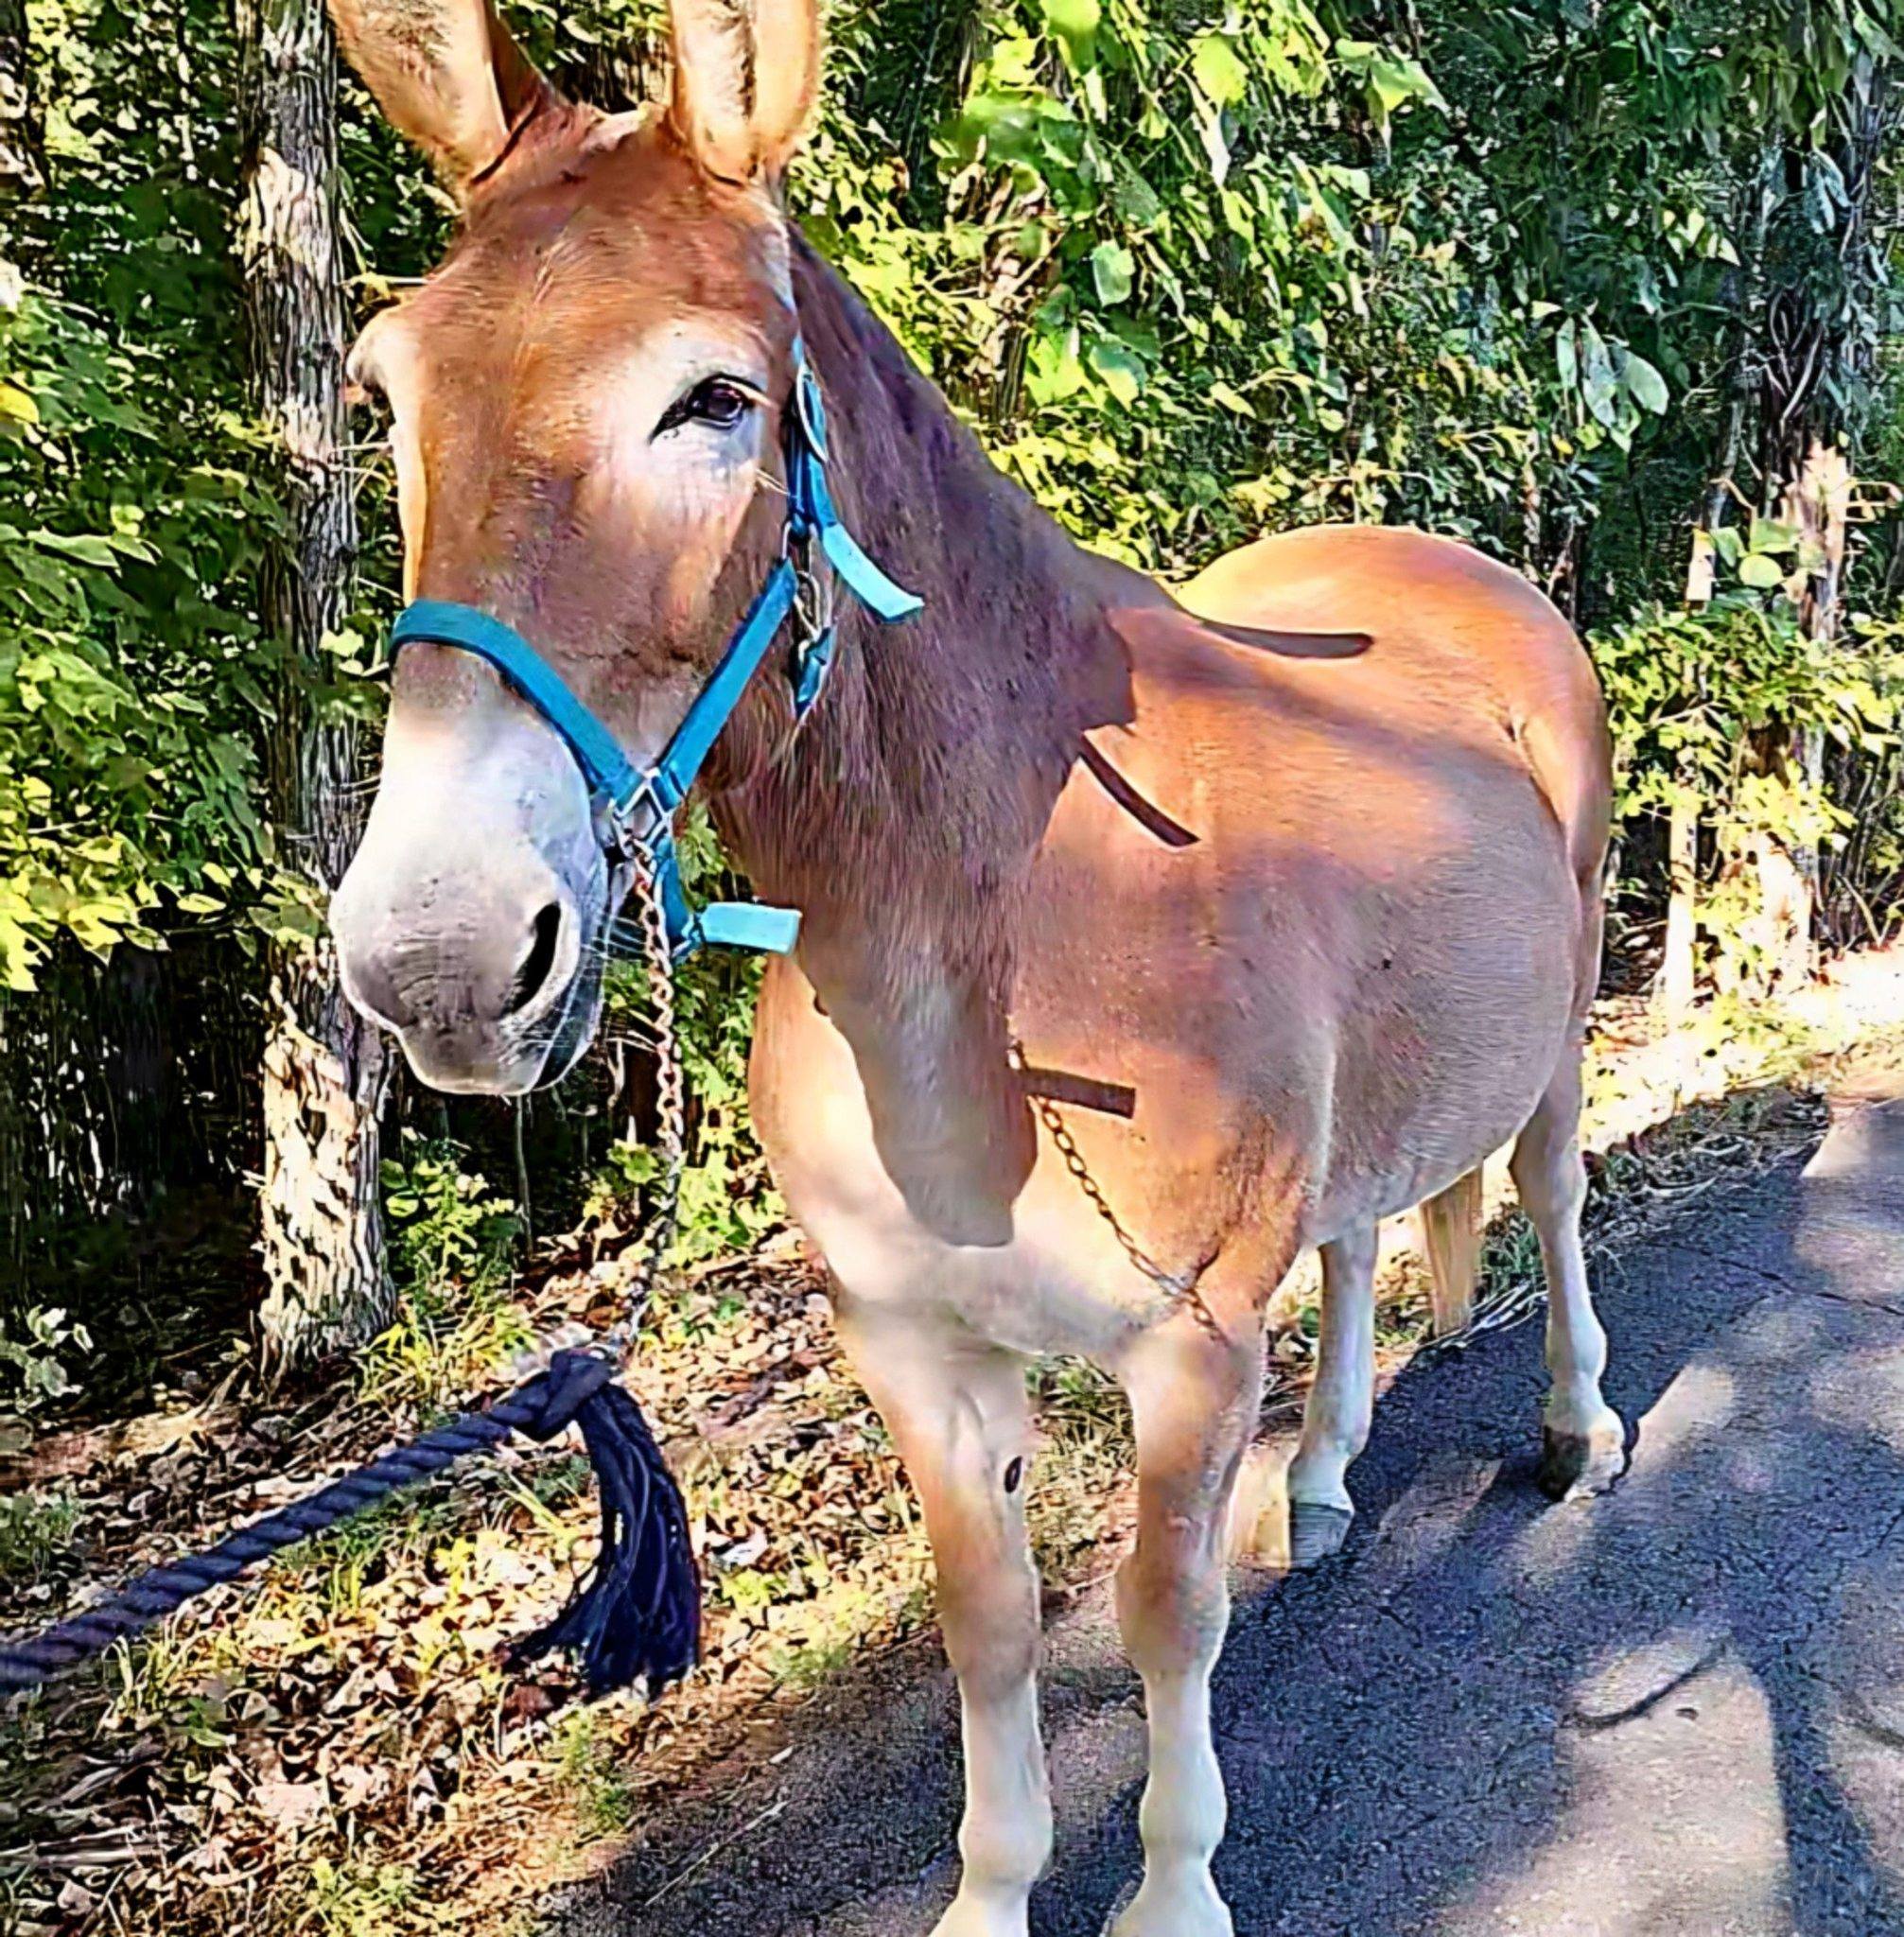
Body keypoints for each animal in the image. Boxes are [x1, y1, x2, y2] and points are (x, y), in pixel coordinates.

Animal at [324, 0, 1624, 1927]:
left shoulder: (1185, 1351)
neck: (989, 940)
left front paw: (1169, 1888)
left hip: (1556, 1026)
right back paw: (1317, 1478)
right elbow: (989, 1623)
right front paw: (992, 1887)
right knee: (1355, 1236)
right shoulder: (913, 1352)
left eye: (713, 400)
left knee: (1544, 1192)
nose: (438, 954)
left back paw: (1576, 1425)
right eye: (388, 393)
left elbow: (1159, 1616)